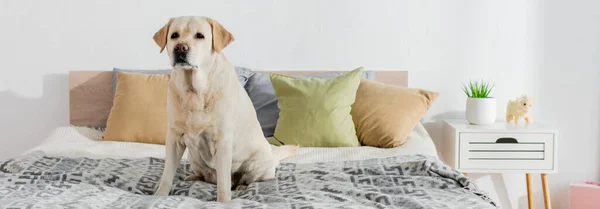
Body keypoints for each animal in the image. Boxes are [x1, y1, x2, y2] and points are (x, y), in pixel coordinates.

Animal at [152, 16, 298, 202]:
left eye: (200, 36)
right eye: (174, 35)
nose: (180, 48)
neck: (194, 92)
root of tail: (273, 153)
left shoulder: (222, 141)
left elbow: (223, 183)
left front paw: (223, 202)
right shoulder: (174, 138)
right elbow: (167, 174)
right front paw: (159, 195)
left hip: (258, 164)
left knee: (245, 179)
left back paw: (242, 186)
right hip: (194, 158)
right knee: (205, 176)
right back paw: (192, 177)